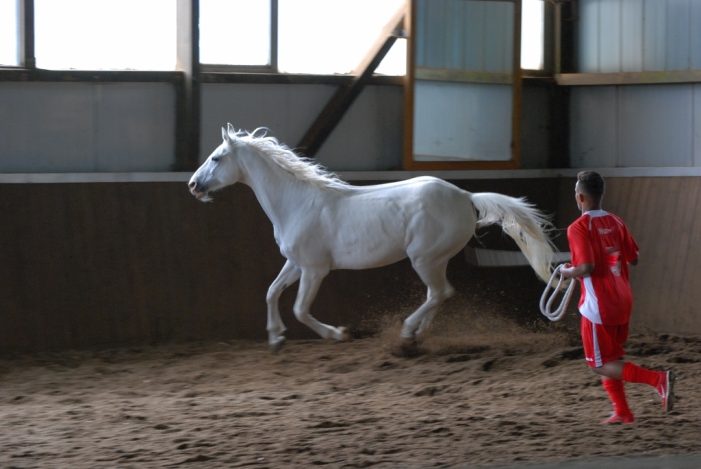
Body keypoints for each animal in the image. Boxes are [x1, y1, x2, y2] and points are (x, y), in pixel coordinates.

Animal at [188, 124, 556, 351]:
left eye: (216, 158)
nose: (193, 185)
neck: (297, 202)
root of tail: (466, 196)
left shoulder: (314, 270)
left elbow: (300, 309)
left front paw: (337, 334)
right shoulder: (295, 263)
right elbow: (271, 292)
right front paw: (276, 339)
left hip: (424, 258)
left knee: (440, 292)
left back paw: (407, 332)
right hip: (434, 260)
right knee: (439, 294)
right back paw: (418, 335)